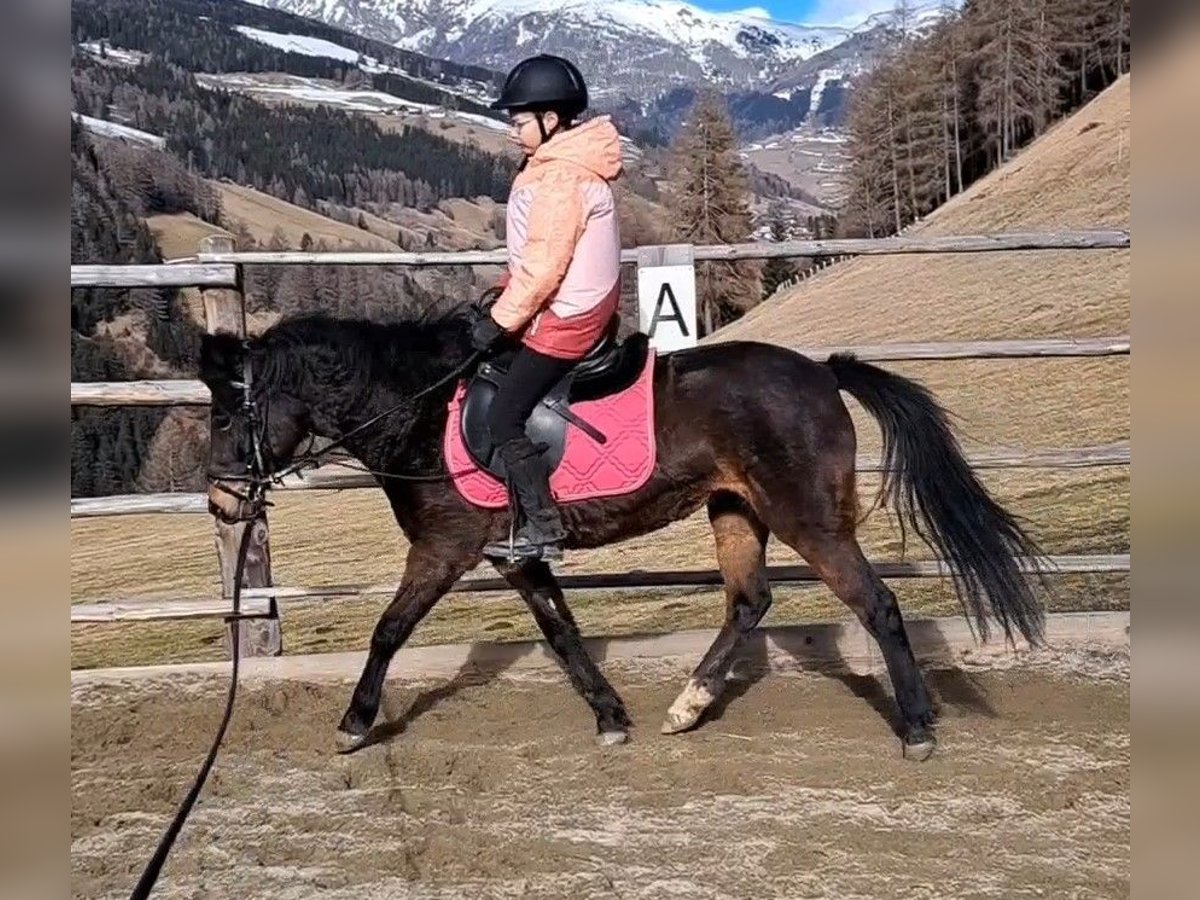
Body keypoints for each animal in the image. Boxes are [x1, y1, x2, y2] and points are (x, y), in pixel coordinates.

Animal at [201, 309, 1046, 763]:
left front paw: (353, 725)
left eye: (227, 413)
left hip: (806, 518)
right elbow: (562, 632)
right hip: (734, 510)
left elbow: (388, 630)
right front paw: (611, 718)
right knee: (749, 603)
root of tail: (821, 372)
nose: (219, 501)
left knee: (877, 605)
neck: (421, 413)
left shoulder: (444, 549)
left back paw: (916, 728)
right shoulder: (515, 557)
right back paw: (689, 705)